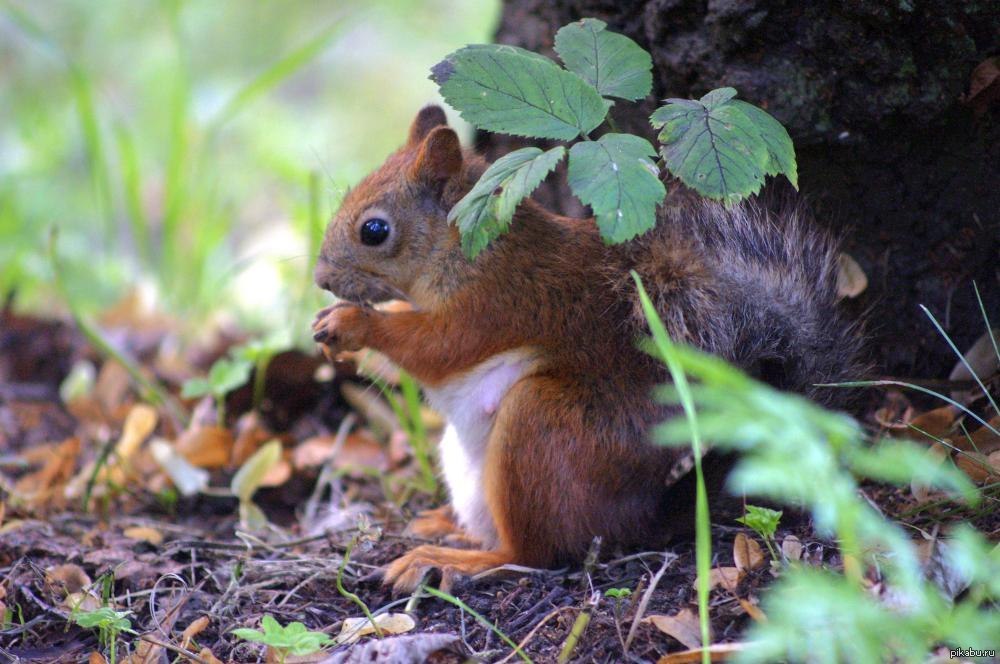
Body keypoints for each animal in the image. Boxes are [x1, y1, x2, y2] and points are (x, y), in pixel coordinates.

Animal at [314, 106, 868, 592]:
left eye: (374, 230)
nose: (321, 279)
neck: (466, 246)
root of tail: (635, 516)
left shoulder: (499, 301)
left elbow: (436, 347)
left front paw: (354, 325)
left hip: (540, 427)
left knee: (531, 553)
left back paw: (453, 560)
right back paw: (443, 526)